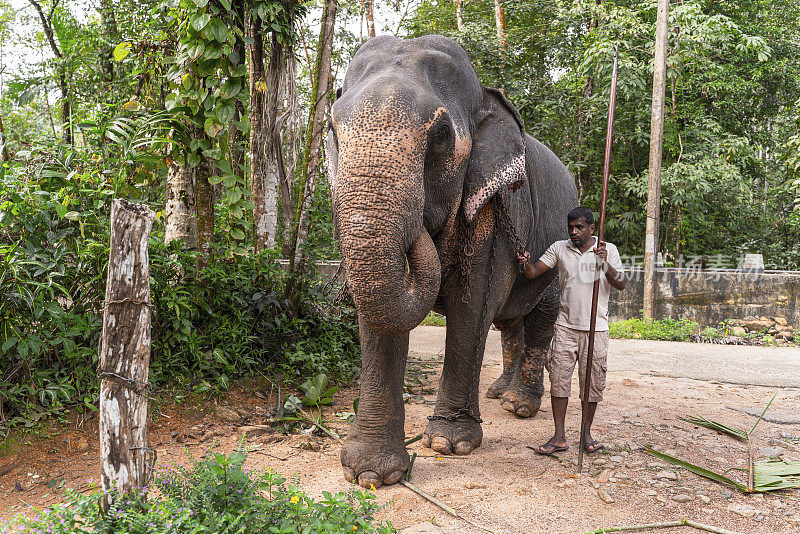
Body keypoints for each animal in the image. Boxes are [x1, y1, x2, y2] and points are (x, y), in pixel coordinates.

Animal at [328, 33, 580, 488]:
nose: (423, 230)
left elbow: (472, 302)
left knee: (539, 316)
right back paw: (499, 393)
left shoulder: (491, 206)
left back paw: (519, 406)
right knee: (510, 322)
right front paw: (370, 473)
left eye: (442, 136)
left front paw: (450, 443)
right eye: (333, 131)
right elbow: (379, 316)